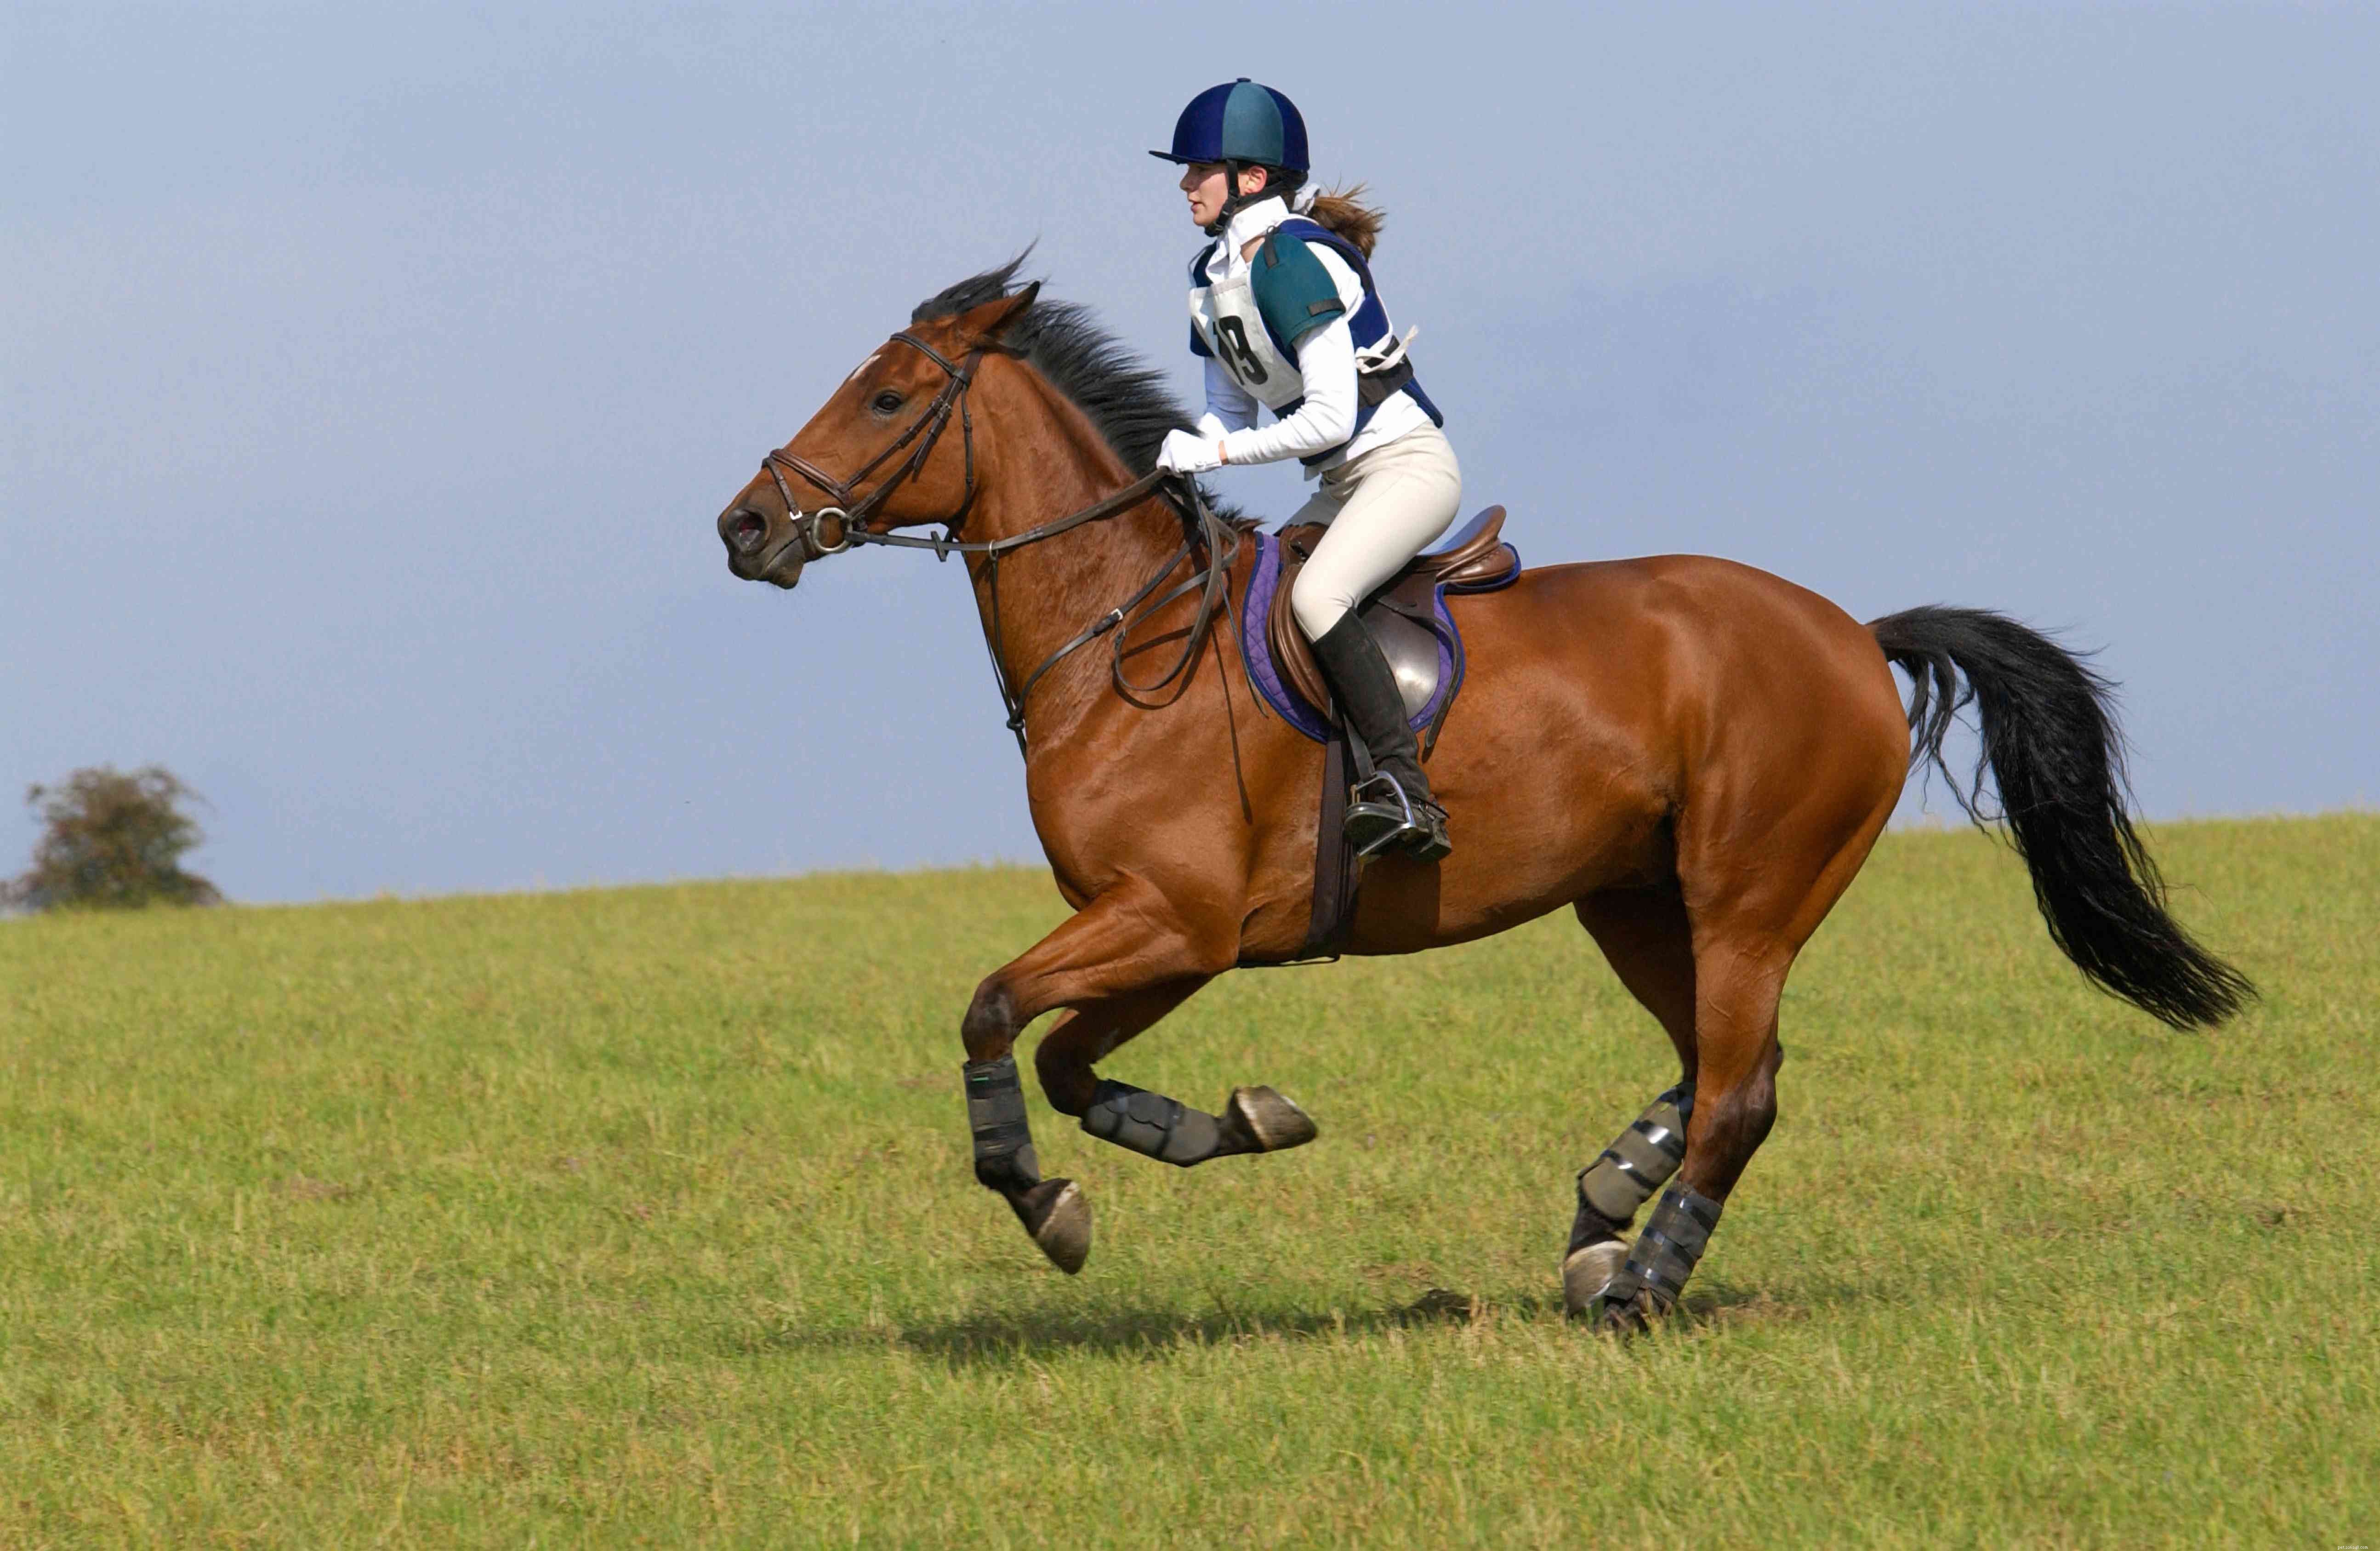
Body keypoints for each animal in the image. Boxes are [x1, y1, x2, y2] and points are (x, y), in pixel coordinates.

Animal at [711, 260, 2251, 1330]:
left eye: (888, 399)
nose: (744, 524)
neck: (1124, 635)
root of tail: (1851, 635)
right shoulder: (1169, 937)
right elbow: (1069, 1063)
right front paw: (1238, 1122)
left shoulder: (1176, 919)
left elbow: (991, 1014)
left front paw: (1047, 1207)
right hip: (1636, 899)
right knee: (1716, 1063)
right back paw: (1606, 1208)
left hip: (1746, 893)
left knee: (1741, 1089)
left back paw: (1639, 1282)